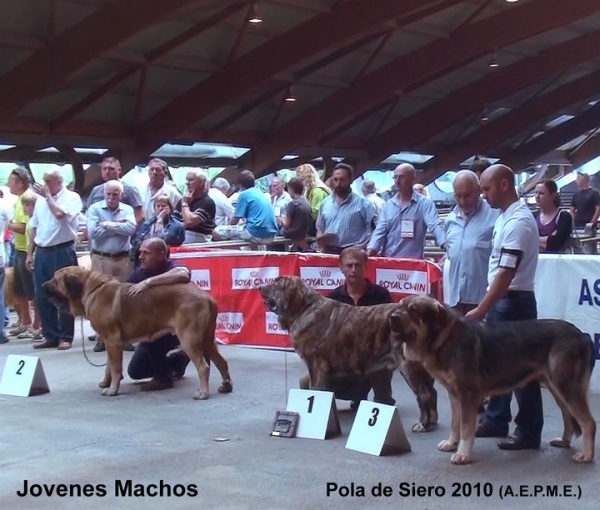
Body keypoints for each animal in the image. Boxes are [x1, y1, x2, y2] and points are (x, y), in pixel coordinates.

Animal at [42, 264, 232, 400]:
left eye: (54, 279)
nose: (43, 285)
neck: (90, 289)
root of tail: (207, 297)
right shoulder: (109, 341)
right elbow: (110, 365)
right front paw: (106, 383)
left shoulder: (112, 340)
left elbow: (116, 367)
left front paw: (112, 389)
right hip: (207, 339)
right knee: (221, 362)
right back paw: (226, 386)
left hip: (189, 338)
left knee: (203, 366)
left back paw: (203, 393)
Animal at [258, 274, 436, 430]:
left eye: (276, 282)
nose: (260, 287)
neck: (304, 309)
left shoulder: (316, 365)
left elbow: (315, 391)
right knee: (432, 392)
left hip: (408, 366)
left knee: (425, 394)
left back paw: (423, 425)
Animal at [390, 292, 596, 464]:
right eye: (399, 306)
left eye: (413, 310)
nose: (392, 317)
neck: (445, 338)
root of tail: (582, 335)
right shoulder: (454, 394)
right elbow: (455, 423)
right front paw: (451, 443)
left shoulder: (468, 395)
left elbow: (466, 427)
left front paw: (463, 454)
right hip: (556, 387)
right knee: (568, 415)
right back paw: (564, 441)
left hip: (565, 385)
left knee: (587, 421)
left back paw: (586, 455)